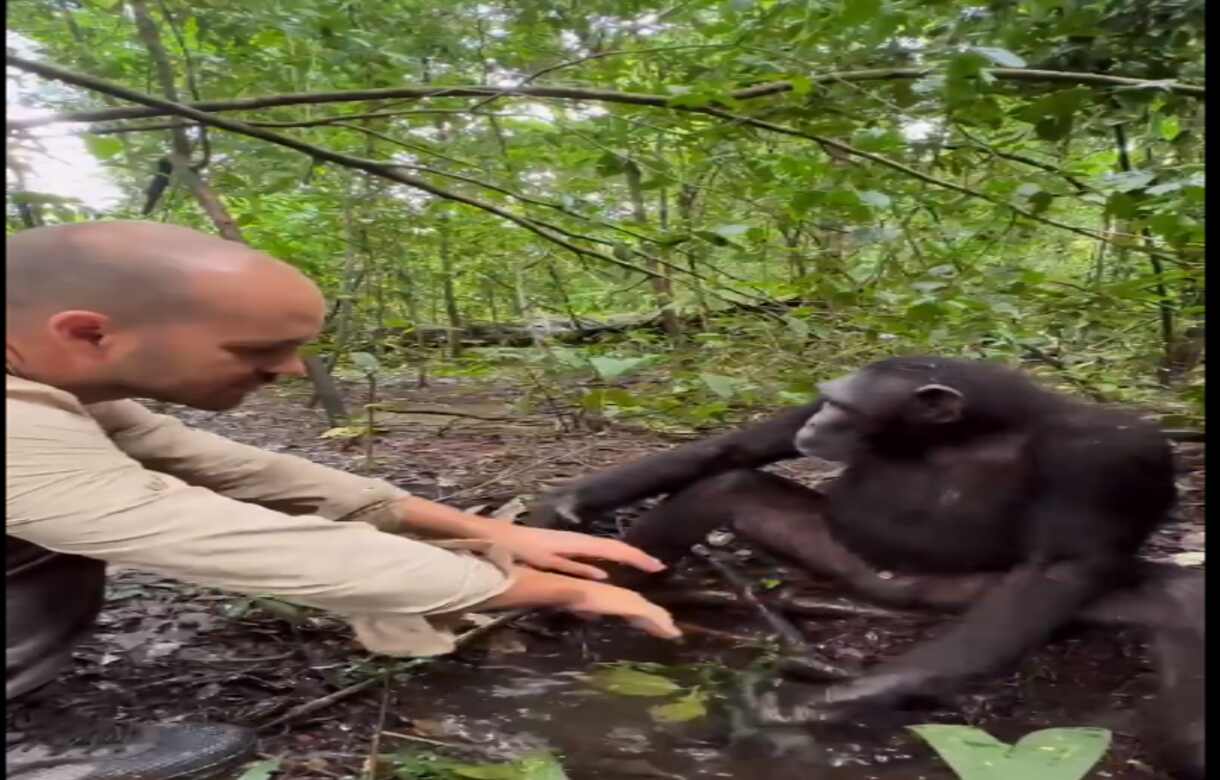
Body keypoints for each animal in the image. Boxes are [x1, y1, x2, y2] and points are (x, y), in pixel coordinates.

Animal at [529, 356, 1205, 776]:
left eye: (846, 409)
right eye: (826, 401)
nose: (819, 419)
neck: (963, 434)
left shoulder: (1111, 453)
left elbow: (1057, 571)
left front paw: (799, 709)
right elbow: (736, 448)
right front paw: (561, 508)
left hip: (949, 594)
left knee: (1178, 604)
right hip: (837, 552)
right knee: (726, 487)